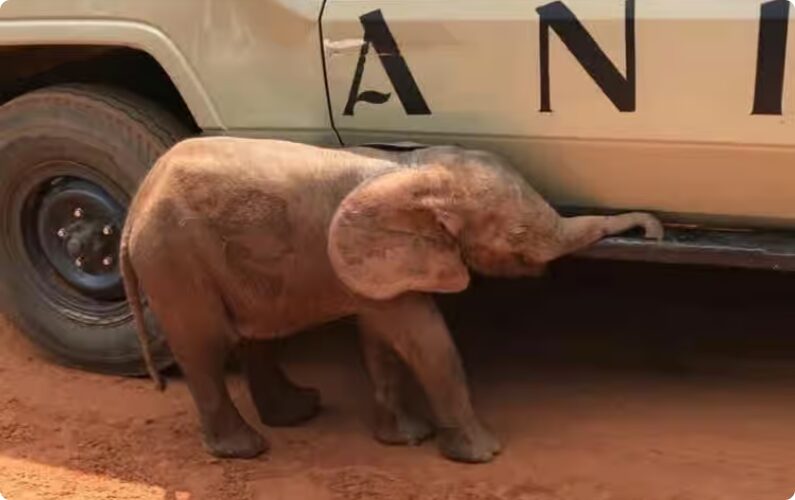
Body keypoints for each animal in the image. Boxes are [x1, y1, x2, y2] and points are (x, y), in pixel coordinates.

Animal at [120, 137, 663, 463]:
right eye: (517, 236)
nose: (654, 232)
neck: (412, 168)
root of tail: (132, 211)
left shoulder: (377, 270)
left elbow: (381, 341)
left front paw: (405, 440)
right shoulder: (376, 261)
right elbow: (426, 339)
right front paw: (483, 456)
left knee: (258, 334)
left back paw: (300, 413)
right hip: (174, 258)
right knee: (205, 347)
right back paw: (246, 450)